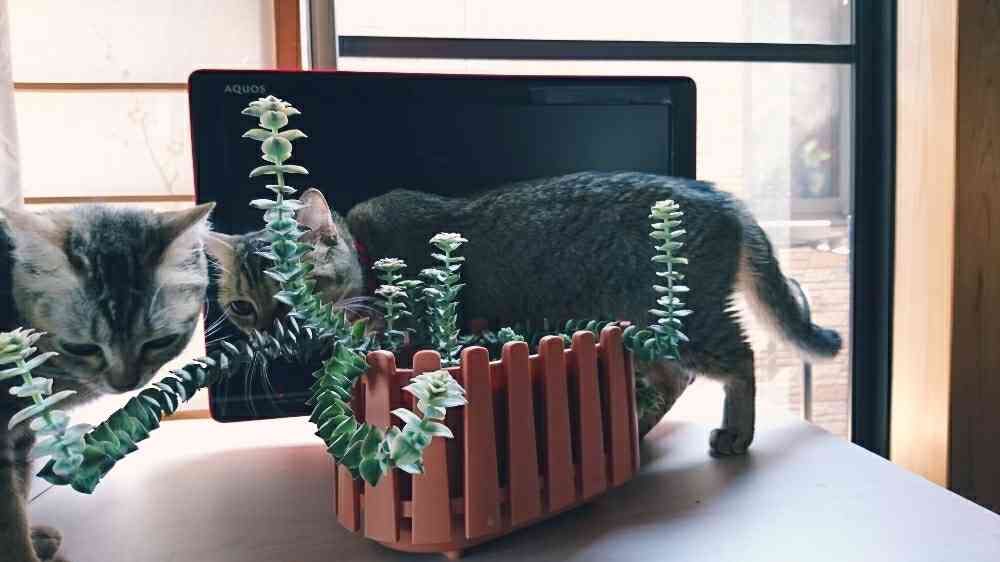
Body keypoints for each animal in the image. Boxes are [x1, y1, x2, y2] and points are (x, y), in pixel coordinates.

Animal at [0, 202, 214, 562]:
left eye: (160, 342)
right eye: (81, 348)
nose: (125, 382)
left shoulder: (20, 439)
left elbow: (19, 495)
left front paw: (32, 538)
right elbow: (10, 520)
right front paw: (23, 551)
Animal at [208, 171, 841, 458]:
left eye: (293, 291)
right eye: (243, 308)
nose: (271, 330)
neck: (368, 253)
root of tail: (724, 197)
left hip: (690, 320)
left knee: (741, 359)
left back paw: (737, 432)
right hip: (645, 329)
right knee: (673, 378)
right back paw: (634, 430)